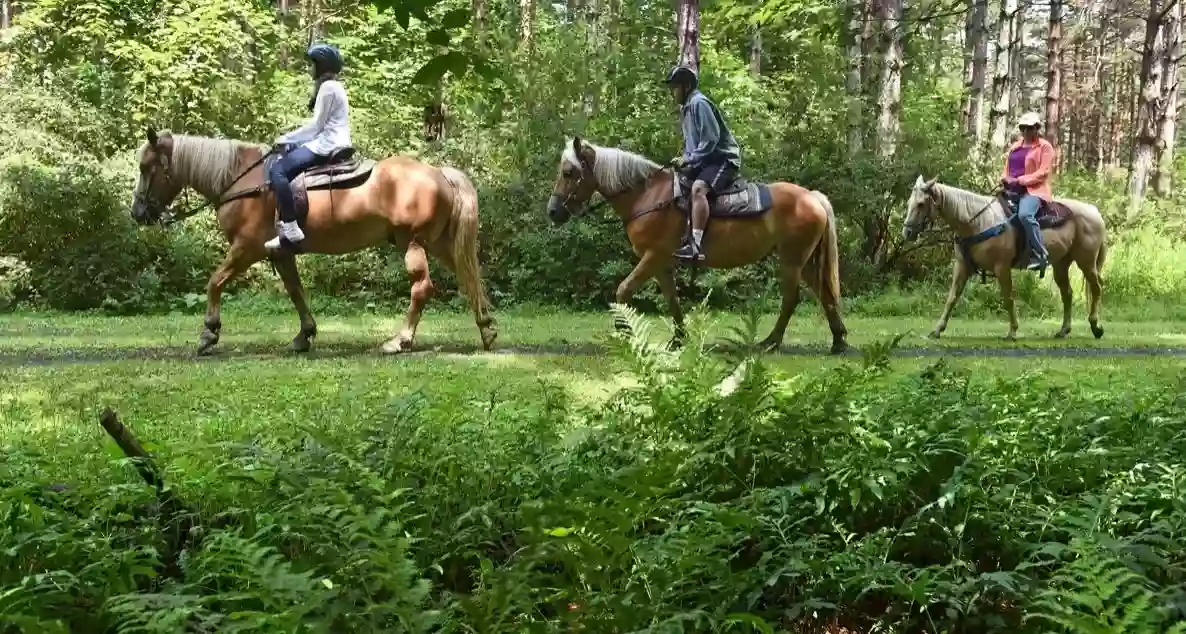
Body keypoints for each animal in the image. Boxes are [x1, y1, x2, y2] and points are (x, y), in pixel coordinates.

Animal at [131, 129, 495, 357]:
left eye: (146, 166)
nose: (137, 212)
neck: (242, 182)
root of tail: (439, 172)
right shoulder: (280, 253)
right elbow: (295, 291)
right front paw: (304, 335)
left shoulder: (246, 248)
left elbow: (214, 282)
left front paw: (209, 333)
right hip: (440, 242)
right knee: (469, 277)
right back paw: (487, 329)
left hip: (413, 242)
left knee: (422, 288)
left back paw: (399, 341)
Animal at [545, 136, 853, 355]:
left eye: (569, 172)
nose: (552, 211)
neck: (647, 196)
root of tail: (812, 197)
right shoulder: (661, 263)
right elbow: (672, 300)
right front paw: (678, 339)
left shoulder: (652, 257)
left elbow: (623, 290)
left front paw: (625, 334)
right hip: (806, 261)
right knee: (825, 294)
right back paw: (838, 341)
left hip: (791, 260)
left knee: (792, 298)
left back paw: (771, 342)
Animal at [901, 174, 1105, 341]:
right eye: (910, 201)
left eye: (921, 204)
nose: (907, 232)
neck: (978, 222)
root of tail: (1094, 212)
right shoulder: (962, 265)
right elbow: (952, 297)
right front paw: (937, 330)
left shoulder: (1002, 267)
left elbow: (1008, 298)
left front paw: (1013, 331)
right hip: (1061, 264)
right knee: (1067, 293)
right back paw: (1063, 330)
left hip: (1086, 261)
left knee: (1096, 288)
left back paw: (1096, 327)